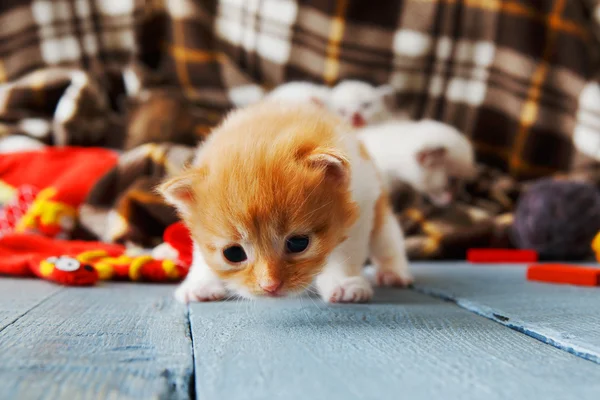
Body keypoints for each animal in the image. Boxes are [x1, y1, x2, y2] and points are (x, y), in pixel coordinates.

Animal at [158, 101, 412, 304]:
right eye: (233, 253)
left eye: (298, 243)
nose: (270, 286)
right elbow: (202, 255)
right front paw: (198, 285)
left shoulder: (360, 205)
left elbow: (346, 250)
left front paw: (344, 284)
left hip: (379, 209)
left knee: (387, 241)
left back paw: (394, 273)